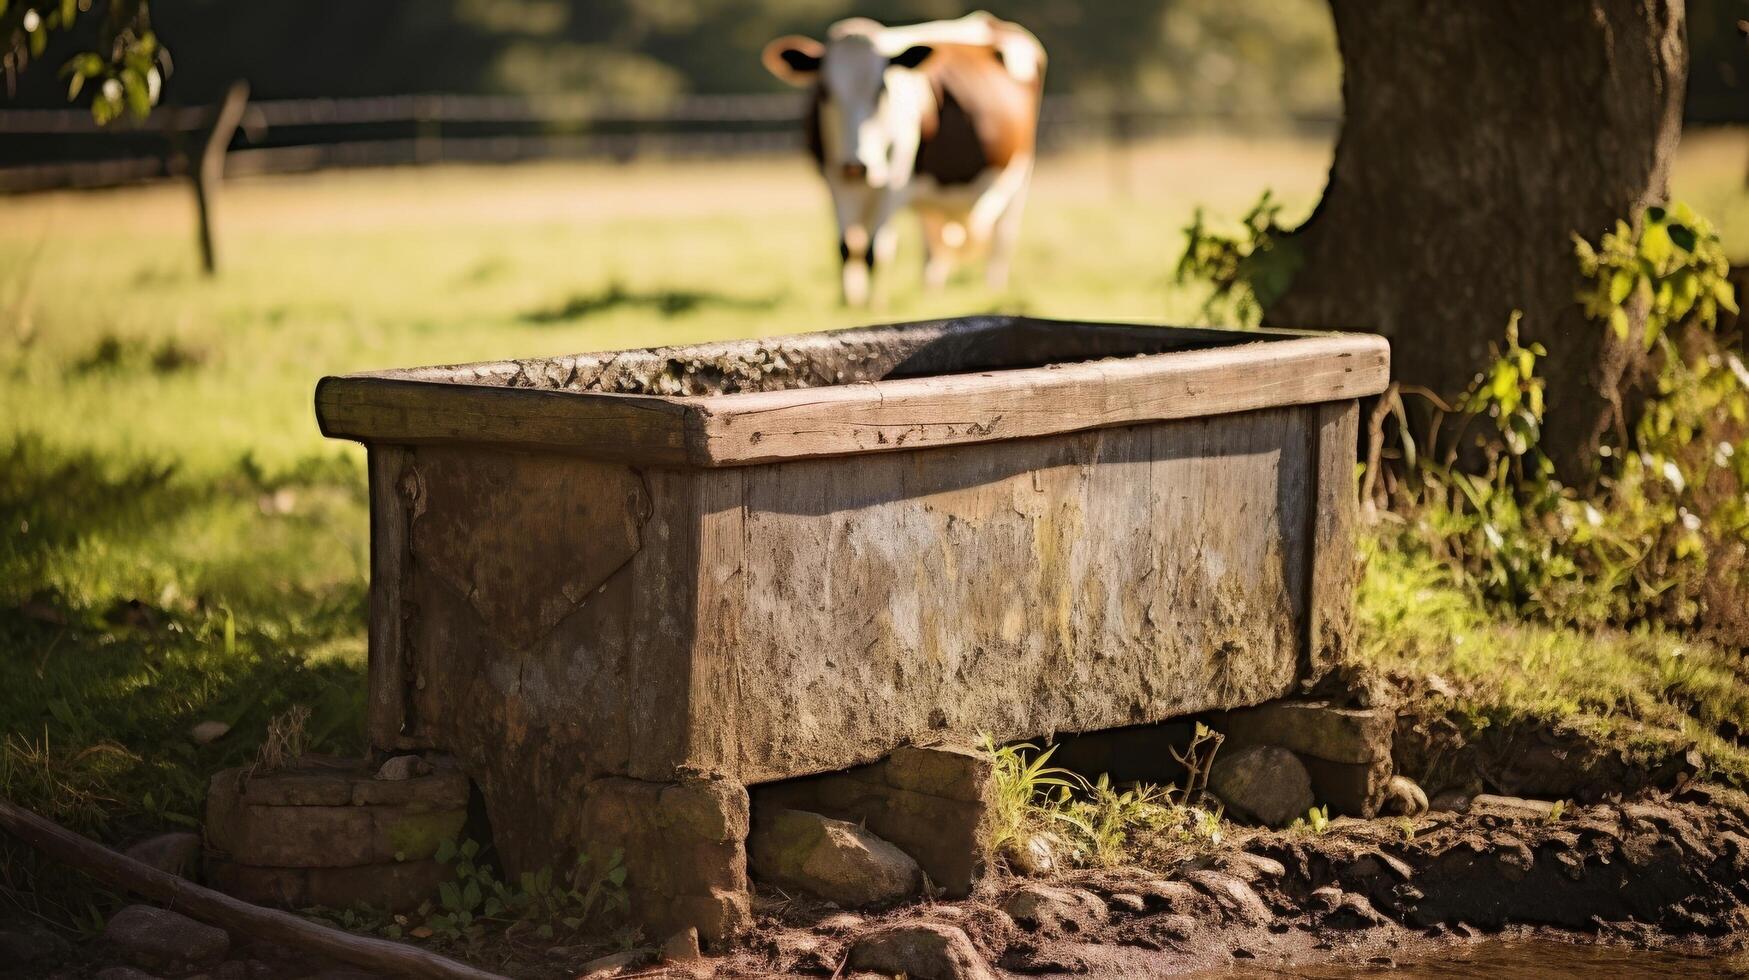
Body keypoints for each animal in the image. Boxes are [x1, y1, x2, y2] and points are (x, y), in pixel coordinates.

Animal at [762, 10, 1035, 302]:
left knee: (1002, 238)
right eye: (825, 90)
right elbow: (846, 246)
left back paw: (992, 290)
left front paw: (874, 304)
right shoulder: (834, 179)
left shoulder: (893, 182)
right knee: (932, 245)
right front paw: (849, 302)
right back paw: (929, 293)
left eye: (882, 89)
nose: (857, 165)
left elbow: (875, 249)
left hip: (1017, 178)